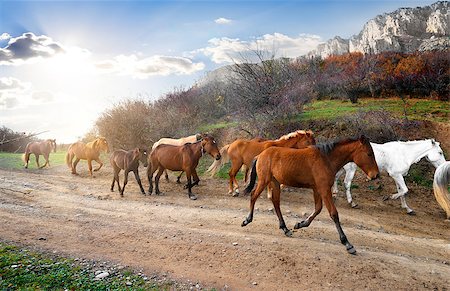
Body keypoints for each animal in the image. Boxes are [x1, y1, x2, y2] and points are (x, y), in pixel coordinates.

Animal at [243, 137, 380, 256]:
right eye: (369, 154)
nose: (376, 175)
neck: (326, 160)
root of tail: (260, 155)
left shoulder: (317, 189)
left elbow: (318, 209)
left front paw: (300, 224)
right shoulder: (324, 189)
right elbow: (333, 213)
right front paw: (347, 244)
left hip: (274, 182)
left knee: (275, 202)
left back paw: (285, 229)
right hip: (264, 180)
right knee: (254, 195)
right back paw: (247, 220)